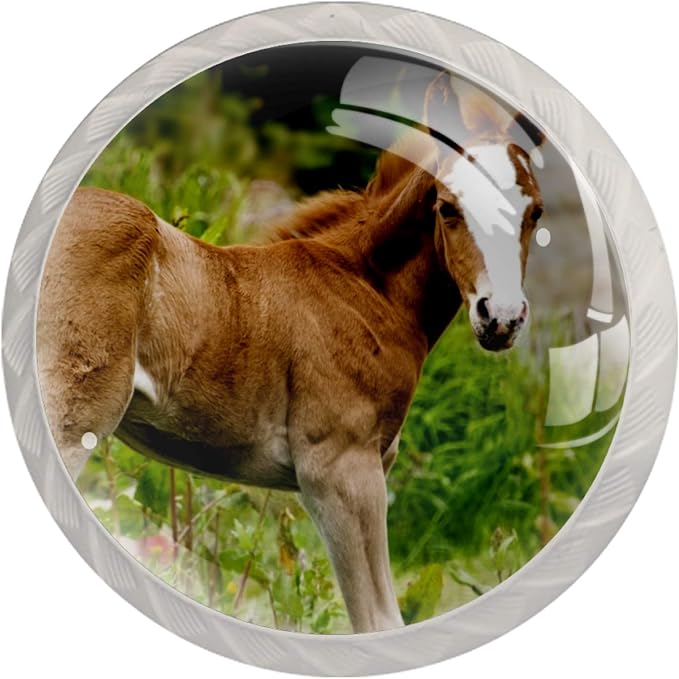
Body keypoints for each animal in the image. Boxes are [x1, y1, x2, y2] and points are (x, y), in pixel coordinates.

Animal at [36, 72, 545, 633]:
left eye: (535, 212)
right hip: (72, 417)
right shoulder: (339, 471)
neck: (365, 287)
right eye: (447, 207)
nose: (501, 318)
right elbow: (378, 620)